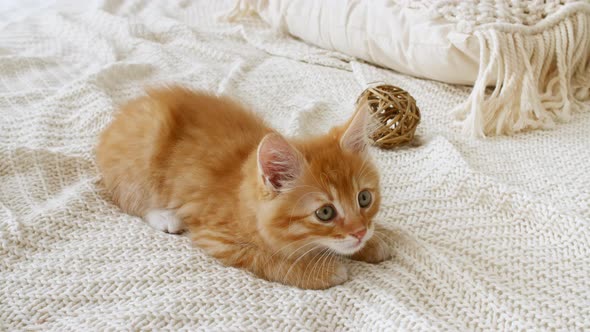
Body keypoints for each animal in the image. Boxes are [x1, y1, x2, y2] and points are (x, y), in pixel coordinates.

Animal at [97, 87, 390, 290]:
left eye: (364, 198)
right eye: (325, 213)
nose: (360, 232)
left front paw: (373, 242)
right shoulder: (217, 238)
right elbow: (266, 258)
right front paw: (320, 270)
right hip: (142, 155)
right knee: (128, 198)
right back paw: (165, 217)